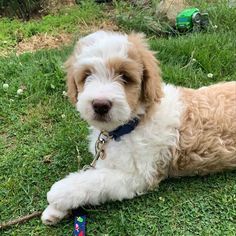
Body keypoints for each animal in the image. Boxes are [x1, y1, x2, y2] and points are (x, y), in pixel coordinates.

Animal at [41, 30, 236, 224]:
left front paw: (60, 192)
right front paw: (55, 211)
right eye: (87, 75)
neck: (131, 125)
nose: (101, 105)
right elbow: (91, 173)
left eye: (125, 76)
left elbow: (96, 180)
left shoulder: (139, 175)